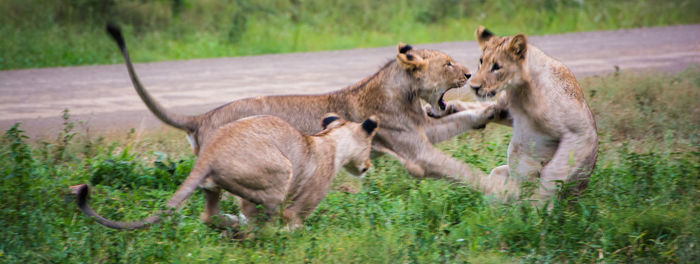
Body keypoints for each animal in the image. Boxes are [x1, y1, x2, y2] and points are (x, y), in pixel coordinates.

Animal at [69, 114, 382, 230]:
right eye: (369, 146)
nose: (368, 166)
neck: (331, 139)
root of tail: (210, 151)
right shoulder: (298, 208)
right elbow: (293, 224)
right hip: (281, 173)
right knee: (261, 228)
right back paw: (247, 232)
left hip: (216, 186)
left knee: (210, 215)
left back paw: (231, 224)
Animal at [105, 24, 508, 198]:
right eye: (449, 63)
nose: (469, 74)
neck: (404, 93)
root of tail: (202, 117)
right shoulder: (415, 150)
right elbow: (459, 169)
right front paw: (502, 194)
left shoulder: (422, 130)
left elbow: (458, 119)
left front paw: (488, 110)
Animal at [462, 26, 600, 202]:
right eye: (481, 62)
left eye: (497, 67)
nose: (473, 86)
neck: (521, 90)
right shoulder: (506, 111)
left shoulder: (581, 132)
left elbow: (553, 171)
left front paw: (538, 205)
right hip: (499, 172)